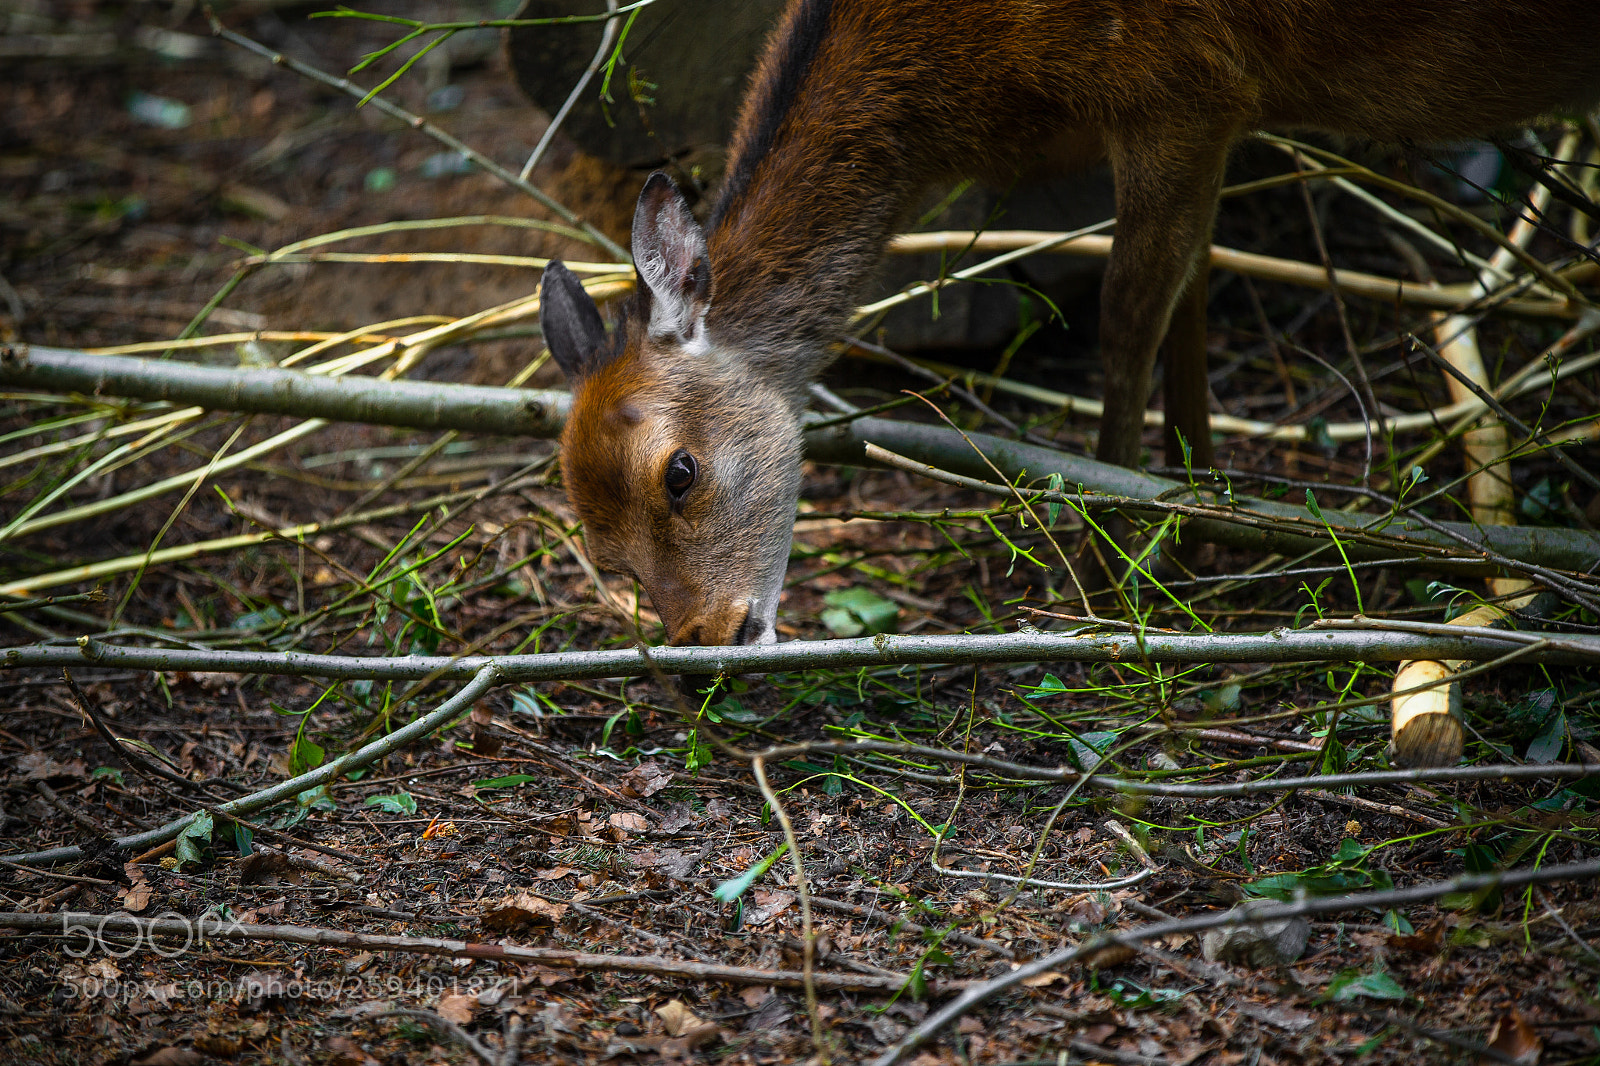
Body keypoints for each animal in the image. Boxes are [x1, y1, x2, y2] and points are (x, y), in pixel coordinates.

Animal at [538, 0, 1599, 647]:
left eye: (679, 473)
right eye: (602, 551)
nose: (702, 640)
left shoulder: (1182, 90)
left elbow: (1128, 320)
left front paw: (1108, 580)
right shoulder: (1216, 113)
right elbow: (1191, 297)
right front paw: (1196, 511)